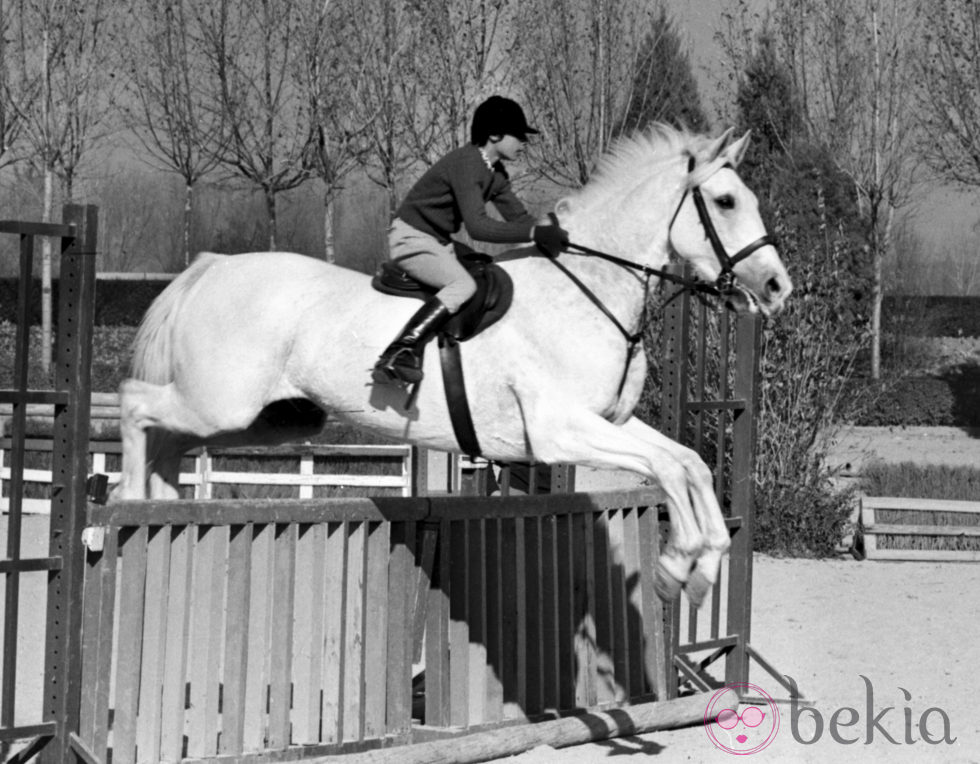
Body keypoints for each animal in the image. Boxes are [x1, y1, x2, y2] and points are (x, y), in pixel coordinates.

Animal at [111, 124, 792, 604]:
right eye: (725, 201)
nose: (777, 286)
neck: (589, 287)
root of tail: (210, 268)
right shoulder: (559, 431)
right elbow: (669, 469)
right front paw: (679, 564)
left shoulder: (608, 422)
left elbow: (690, 463)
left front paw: (699, 566)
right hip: (220, 401)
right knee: (135, 404)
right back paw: (123, 508)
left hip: (268, 418)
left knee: (170, 445)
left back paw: (160, 515)